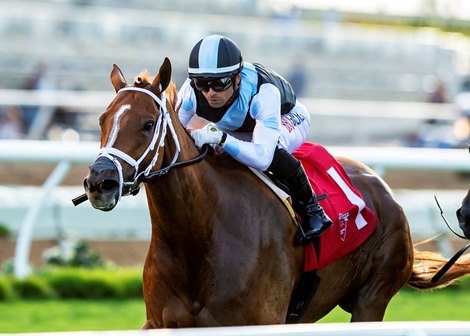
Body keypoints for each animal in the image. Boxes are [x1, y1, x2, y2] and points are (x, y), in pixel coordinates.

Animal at [81, 58, 470, 328]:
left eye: (148, 124)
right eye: (102, 120)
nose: (100, 181)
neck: (198, 237)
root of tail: (385, 190)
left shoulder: (260, 319)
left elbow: (266, 150)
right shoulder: (160, 322)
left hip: (371, 300)